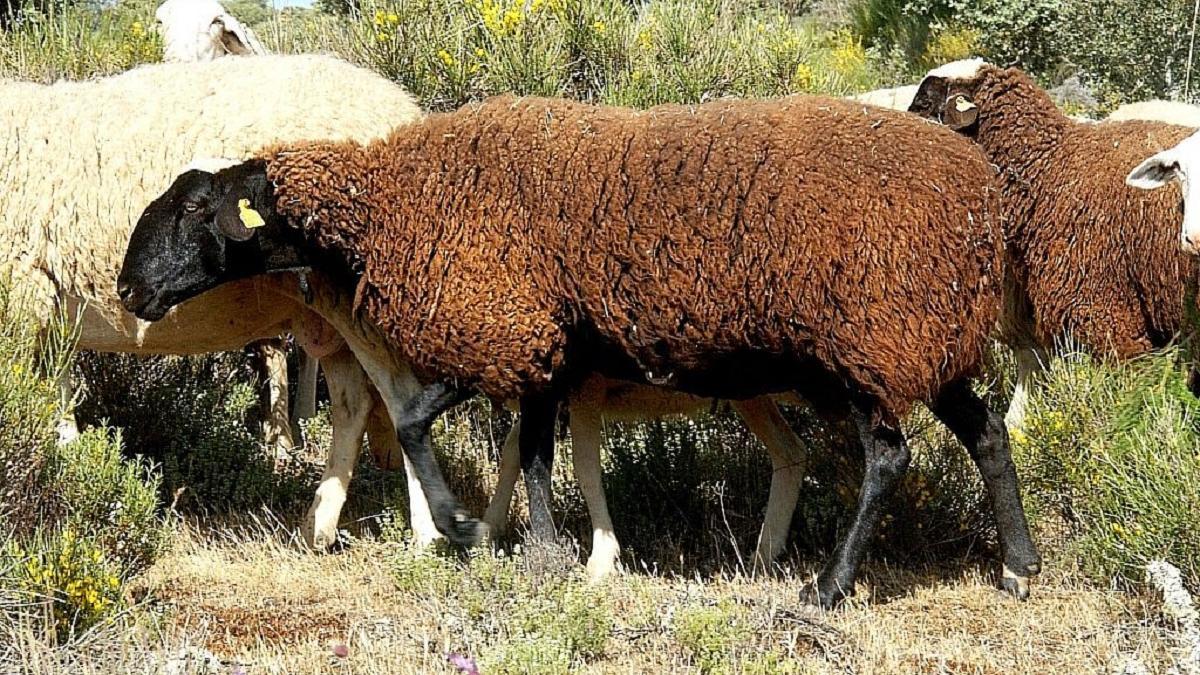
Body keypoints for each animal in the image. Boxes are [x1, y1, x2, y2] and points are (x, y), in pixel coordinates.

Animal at [121, 93, 1036, 605]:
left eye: (196, 207)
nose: (128, 290)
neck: (391, 206)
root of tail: (984, 195)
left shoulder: (501, 326)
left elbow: (416, 421)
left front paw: (461, 525)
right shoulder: (542, 352)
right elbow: (530, 455)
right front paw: (542, 551)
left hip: (869, 341)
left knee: (890, 456)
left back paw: (831, 585)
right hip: (931, 341)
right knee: (988, 432)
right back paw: (1019, 565)